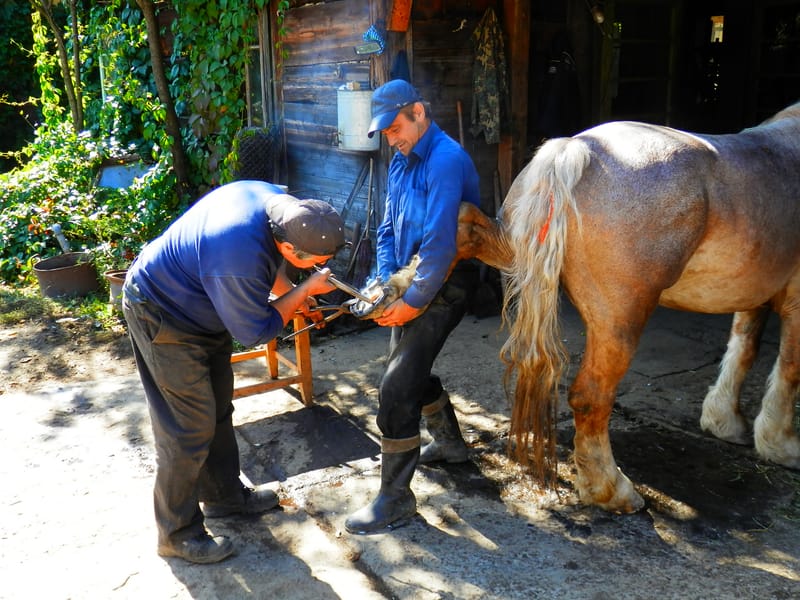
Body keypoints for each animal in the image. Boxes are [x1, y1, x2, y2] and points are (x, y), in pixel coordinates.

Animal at [454, 102, 800, 510]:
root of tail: (574, 149)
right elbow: (789, 368)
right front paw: (782, 444)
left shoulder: (754, 292)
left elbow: (744, 347)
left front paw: (725, 421)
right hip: (619, 321)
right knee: (590, 397)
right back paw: (611, 490)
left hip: (515, 253)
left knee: (468, 227)